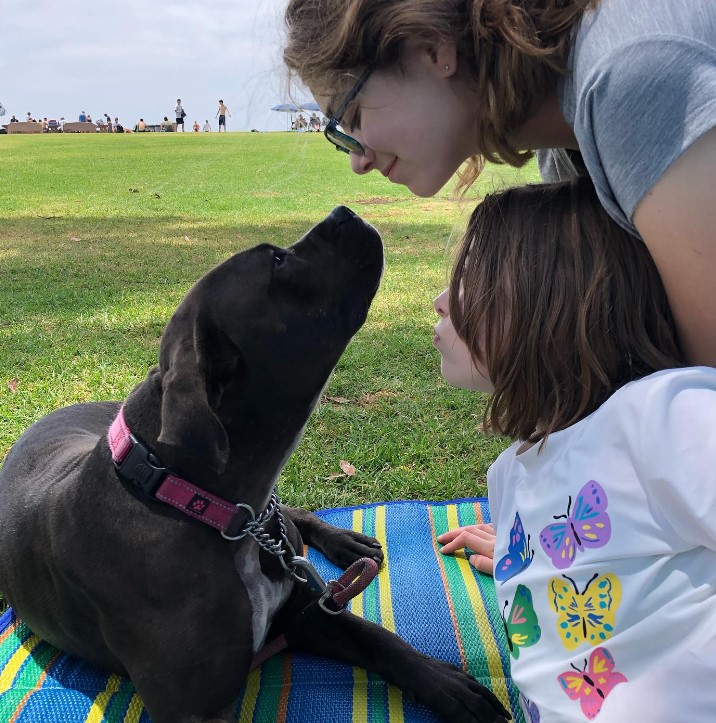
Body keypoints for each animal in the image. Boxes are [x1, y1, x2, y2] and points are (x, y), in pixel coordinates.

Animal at [0, 208, 510, 723]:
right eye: (278, 262)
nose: (342, 212)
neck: (197, 500)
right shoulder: (198, 707)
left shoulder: (312, 611)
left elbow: (378, 638)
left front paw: (444, 681)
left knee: (296, 515)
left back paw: (345, 541)